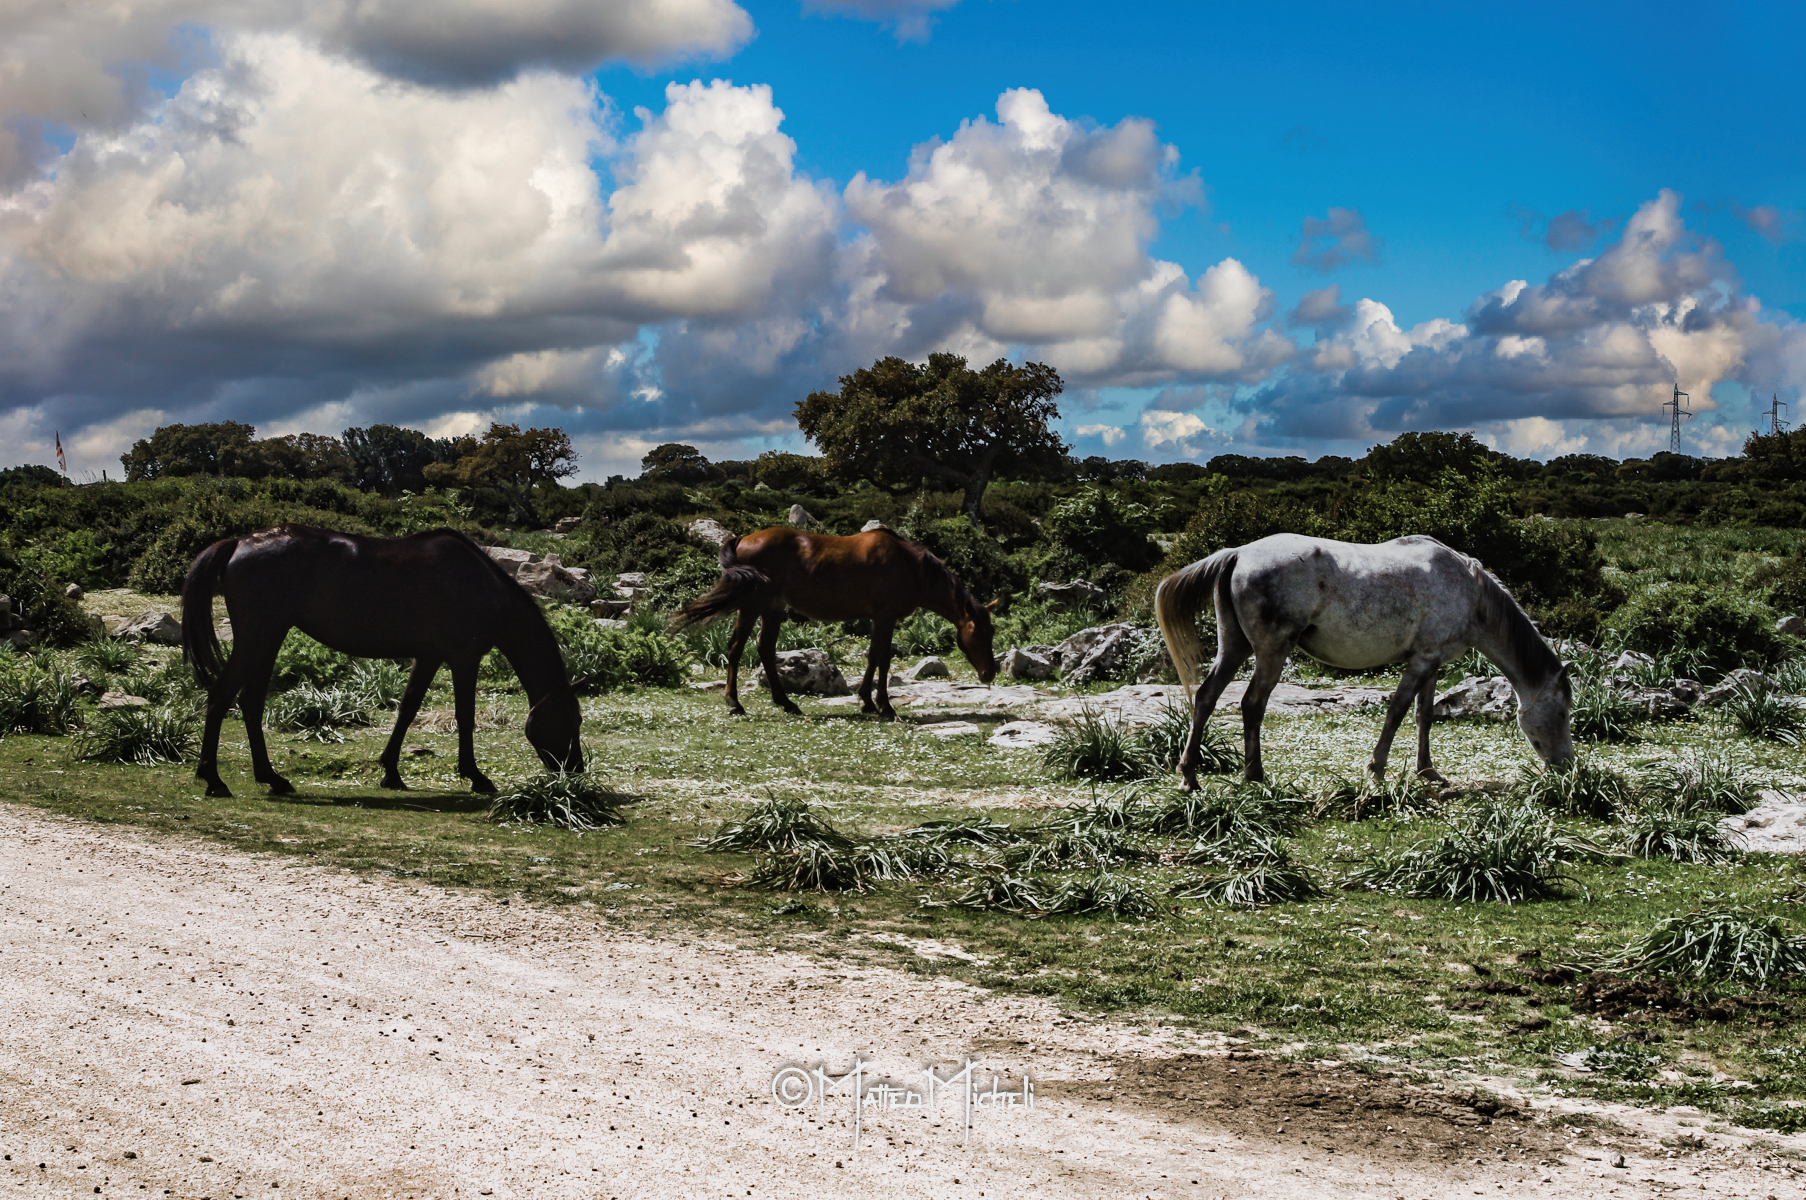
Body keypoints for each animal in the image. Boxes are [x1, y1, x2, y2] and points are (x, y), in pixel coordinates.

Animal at [180, 525, 583, 799]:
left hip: (267, 641)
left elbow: (407, 709)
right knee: (221, 697)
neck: (483, 587)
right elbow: (465, 717)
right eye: (572, 721)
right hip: (259, 638)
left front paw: (391, 772)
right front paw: (476, 776)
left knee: (249, 702)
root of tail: (238, 543)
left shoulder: (429, 657)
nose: (575, 772)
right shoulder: (463, 659)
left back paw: (272, 778)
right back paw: (214, 780)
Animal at [673, 526, 999, 719]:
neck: (911, 568)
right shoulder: (885, 616)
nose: (989, 674)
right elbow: (882, 658)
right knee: (737, 647)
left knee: (764, 649)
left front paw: (868, 701)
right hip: (753, 606)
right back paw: (735, 703)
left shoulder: (879, 618)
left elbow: (874, 657)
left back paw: (786, 703)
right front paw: (883, 705)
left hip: (772, 608)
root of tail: (743, 540)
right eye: (979, 632)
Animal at [1154, 533, 1573, 791]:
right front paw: (1376, 770)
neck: (1469, 592)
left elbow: (1424, 715)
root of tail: (1239, 553)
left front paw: (1428, 771)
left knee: (1206, 698)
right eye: (1564, 711)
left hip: (1234, 648)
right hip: (1271, 652)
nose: (1566, 766)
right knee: (1252, 704)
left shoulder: (1432, 662)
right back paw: (1255, 775)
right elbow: (1398, 711)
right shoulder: (1421, 662)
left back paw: (1189, 776)